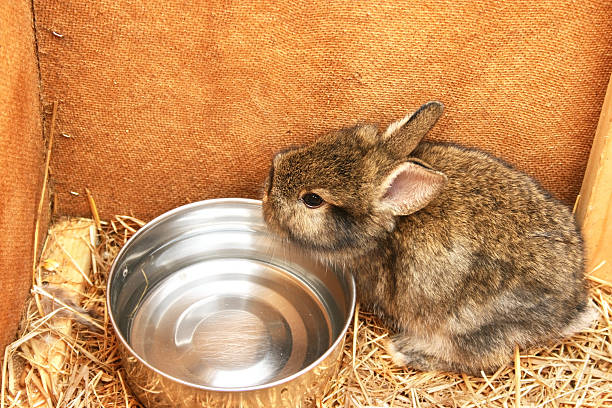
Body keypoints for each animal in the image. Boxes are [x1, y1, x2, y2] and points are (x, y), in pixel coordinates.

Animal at [260, 100, 596, 374]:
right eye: (331, 139)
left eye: (313, 199)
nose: (269, 185)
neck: (386, 230)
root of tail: (570, 309)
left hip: (467, 325)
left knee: (484, 359)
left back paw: (404, 351)